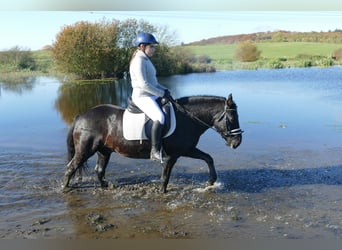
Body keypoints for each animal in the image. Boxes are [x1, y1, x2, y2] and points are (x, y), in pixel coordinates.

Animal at [62, 94, 242, 193]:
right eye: (231, 118)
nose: (237, 142)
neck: (186, 119)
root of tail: (81, 116)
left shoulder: (187, 149)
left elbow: (208, 158)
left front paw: (211, 181)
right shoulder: (173, 155)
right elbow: (165, 176)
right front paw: (162, 192)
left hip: (104, 151)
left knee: (99, 170)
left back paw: (105, 186)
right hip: (86, 150)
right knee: (71, 167)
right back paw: (65, 188)